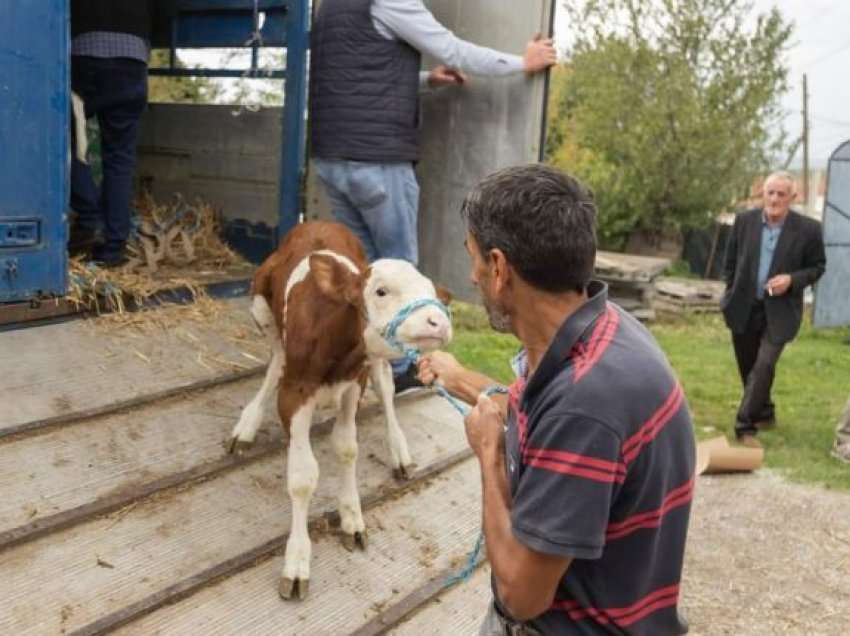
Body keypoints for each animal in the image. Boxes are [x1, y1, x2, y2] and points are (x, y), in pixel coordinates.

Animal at [225, 222, 450, 600]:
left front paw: (352, 518)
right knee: (275, 362)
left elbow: (347, 448)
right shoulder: (294, 393)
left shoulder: (353, 384)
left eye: (431, 291)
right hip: (261, 306)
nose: (439, 321)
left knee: (385, 386)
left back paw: (399, 450)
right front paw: (297, 561)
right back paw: (249, 422)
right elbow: (303, 476)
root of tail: (319, 222)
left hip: (373, 364)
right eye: (380, 291)